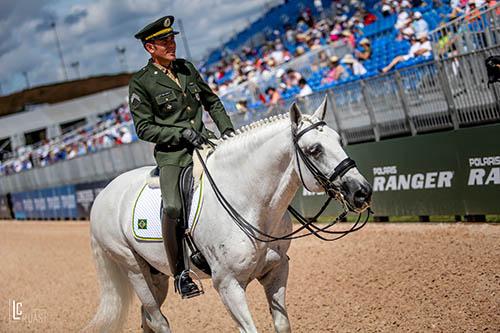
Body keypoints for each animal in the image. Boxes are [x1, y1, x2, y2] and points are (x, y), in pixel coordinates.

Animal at [88, 100, 374, 330]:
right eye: (315, 149)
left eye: (339, 141)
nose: (362, 192)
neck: (246, 199)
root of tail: (101, 197)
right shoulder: (228, 286)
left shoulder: (276, 271)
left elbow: (282, 325)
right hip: (134, 270)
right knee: (158, 320)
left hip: (156, 274)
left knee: (147, 318)